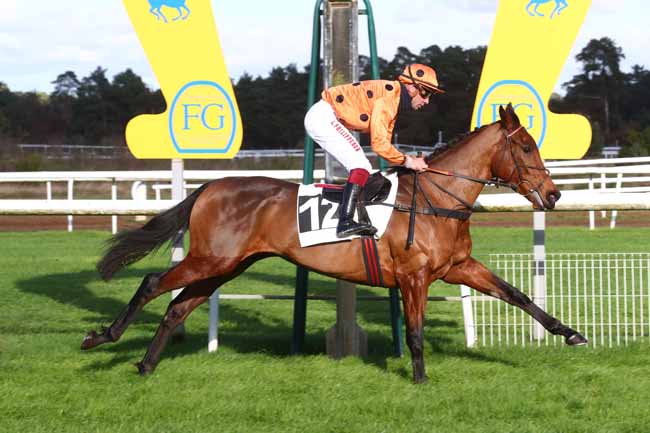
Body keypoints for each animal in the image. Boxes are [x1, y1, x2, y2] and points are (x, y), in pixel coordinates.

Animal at [82, 103, 588, 384]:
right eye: (526, 148)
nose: (553, 195)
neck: (437, 199)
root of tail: (209, 188)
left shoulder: (458, 266)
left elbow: (517, 295)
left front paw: (569, 333)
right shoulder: (414, 277)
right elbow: (416, 332)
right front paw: (421, 379)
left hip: (226, 265)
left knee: (177, 306)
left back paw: (145, 365)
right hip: (212, 258)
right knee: (152, 283)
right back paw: (102, 337)